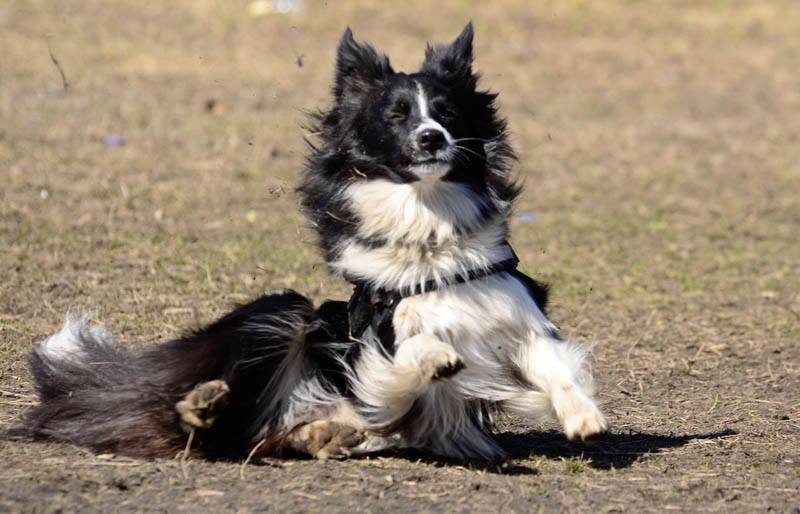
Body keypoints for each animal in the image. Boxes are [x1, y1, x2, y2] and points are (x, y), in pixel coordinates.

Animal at [10, 22, 608, 458]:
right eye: (397, 116)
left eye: (448, 113)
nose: (432, 138)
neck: (428, 228)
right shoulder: (378, 348)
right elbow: (412, 349)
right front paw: (436, 354)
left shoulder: (514, 318)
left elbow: (554, 365)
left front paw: (583, 415)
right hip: (286, 310)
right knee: (208, 421)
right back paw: (202, 405)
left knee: (265, 435)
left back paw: (320, 433)